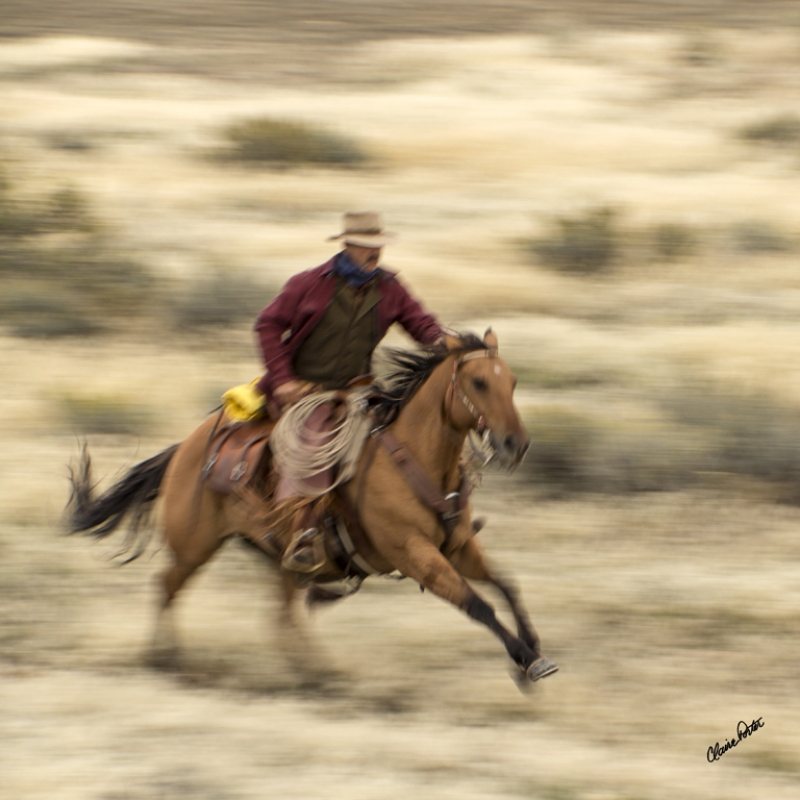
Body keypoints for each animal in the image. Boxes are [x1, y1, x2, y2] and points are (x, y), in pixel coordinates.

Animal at [67, 328, 556, 684]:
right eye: (479, 382)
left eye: (512, 382)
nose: (515, 444)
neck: (414, 458)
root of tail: (184, 449)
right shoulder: (417, 556)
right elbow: (479, 605)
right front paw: (527, 660)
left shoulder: (457, 547)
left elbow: (508, 585)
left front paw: (533, 646)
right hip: (194, 545)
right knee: (167, 586)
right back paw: (164, 658)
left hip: (283, 562)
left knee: (279, 618)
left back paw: (317, 672)